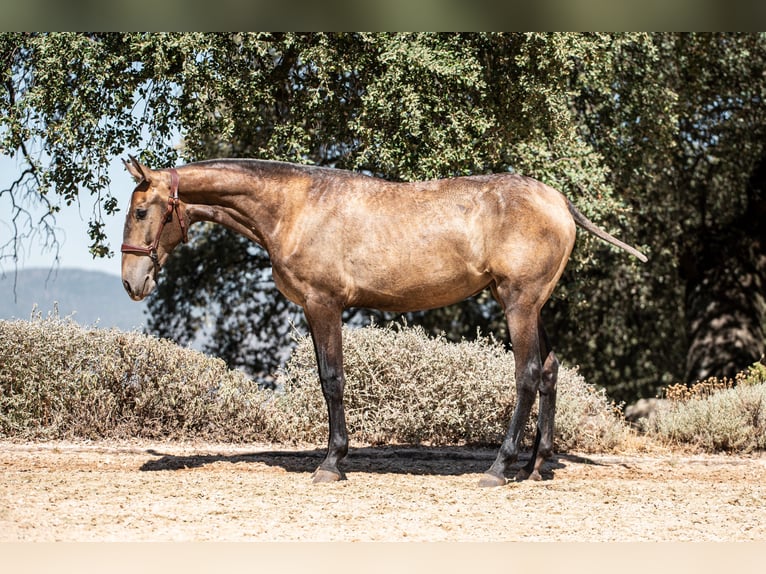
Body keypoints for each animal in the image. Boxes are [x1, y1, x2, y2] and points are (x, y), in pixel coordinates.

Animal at [120, 155, 648, 488]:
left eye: (142, 210)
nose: (130, 281)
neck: (295, 207)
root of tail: (560, 202)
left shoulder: (323, 305)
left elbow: (332, 380)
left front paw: (332, 463)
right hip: (530, 305)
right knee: (551, 372)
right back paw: (537, 467)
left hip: (519, 303)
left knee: (527, 376)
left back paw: (499, 468)